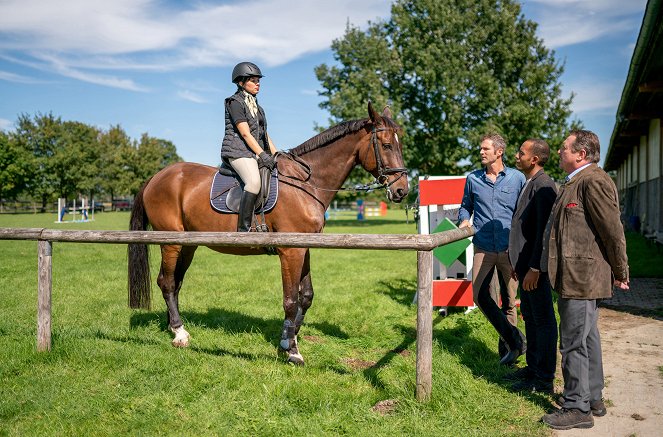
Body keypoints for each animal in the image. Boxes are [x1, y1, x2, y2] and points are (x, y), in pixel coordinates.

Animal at [127, 100, 410, 362]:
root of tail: (156, 177)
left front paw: (288, 338)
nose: (401, 190)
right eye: (386, 145)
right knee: (166, 282)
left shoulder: (304, 248)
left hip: (188, 245)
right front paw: (292, 351)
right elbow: (290, 299)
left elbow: (306, 296)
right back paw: (179, 333)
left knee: (175, 283)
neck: (306, 183)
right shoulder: (290, 251)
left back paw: (174, 327)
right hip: (171, 243)